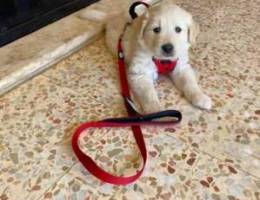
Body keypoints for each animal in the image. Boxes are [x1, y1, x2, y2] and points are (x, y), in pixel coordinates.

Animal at [80, 0, 212, 113]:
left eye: (178, 29)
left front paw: (200, 97)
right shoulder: (140, 73)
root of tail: (112, 15)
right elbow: (148, 94)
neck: (162, 60)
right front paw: (158, 112)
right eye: (156, 29)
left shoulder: (181, 67)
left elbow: (189, 82)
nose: (168, 48)